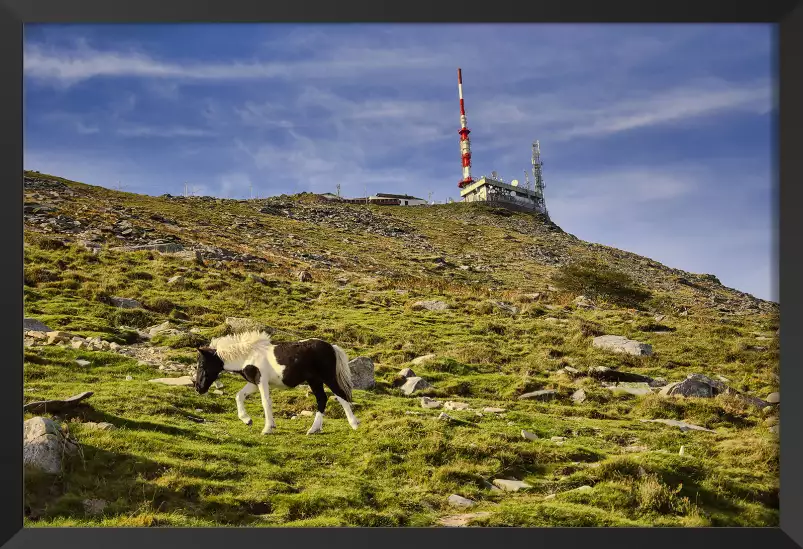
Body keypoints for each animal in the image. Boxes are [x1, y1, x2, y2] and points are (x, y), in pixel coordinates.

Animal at [193, 330, 360, 436]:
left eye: (201, 365)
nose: (198, 388)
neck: (248, 355)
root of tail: (332, 347)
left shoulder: (261, 381)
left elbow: (265, 402)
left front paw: (267, 428)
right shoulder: (254, 383)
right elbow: (239, 396)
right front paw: (247, 420)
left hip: (327, 377)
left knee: (341, 395)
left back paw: (354, 424)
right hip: (315, 380)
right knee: (322, 399)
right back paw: (313, 429)